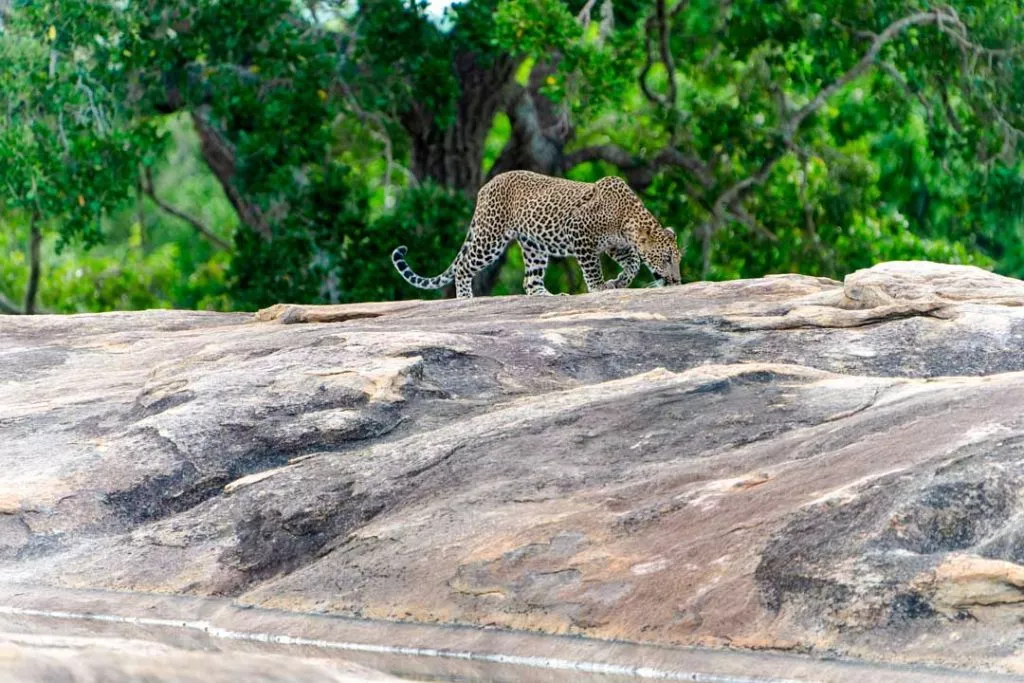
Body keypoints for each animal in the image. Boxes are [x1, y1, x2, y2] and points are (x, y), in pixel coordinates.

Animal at [391, 170, 682, 298]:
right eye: (667, 258)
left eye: (677, 259)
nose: (677, 281)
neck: (627, 218)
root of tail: (486, 186)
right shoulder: (580, 235)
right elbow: (592, 270)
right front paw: (600, 287)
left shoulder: (616, 245)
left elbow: (633, 263)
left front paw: (619, 282)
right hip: (490, 236)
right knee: (463, 266)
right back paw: (466, 299)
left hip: (534, 246)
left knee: (530, 282)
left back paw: (548, 296)